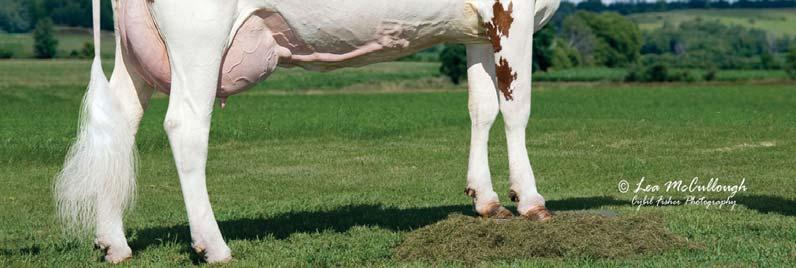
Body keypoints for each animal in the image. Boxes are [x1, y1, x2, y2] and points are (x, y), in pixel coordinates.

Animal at [54, 0, 560, 264]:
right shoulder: (511, 12)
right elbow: (517, 108)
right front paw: (531, 201)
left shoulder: (476, 27)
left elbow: (482, 108)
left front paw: (487, 200)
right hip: (198, 36)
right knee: (185, 126)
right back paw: (214, 245)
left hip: (134, 46)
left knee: (120, 126)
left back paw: (114, 243)